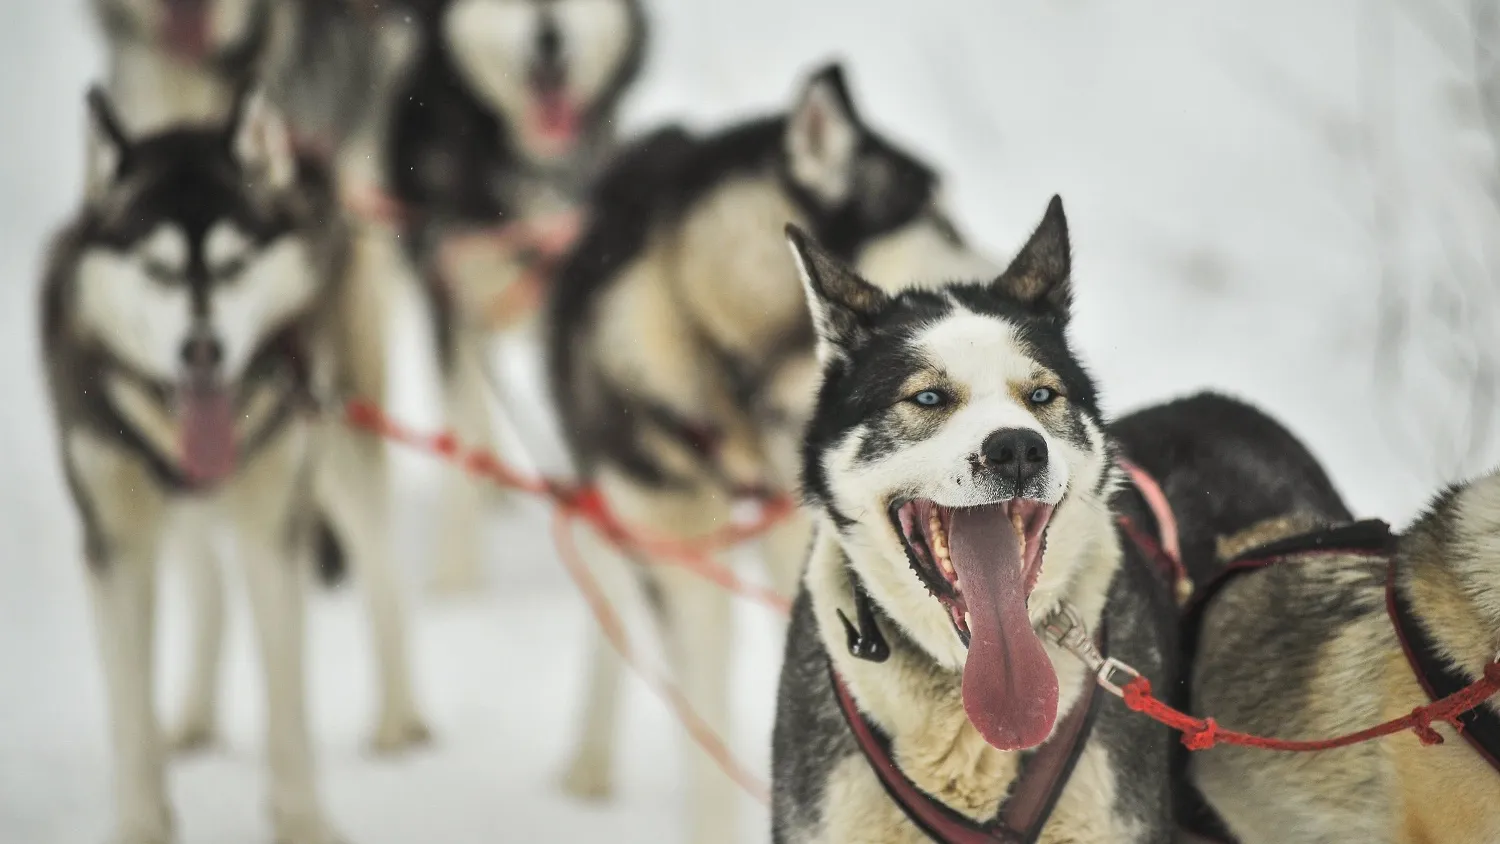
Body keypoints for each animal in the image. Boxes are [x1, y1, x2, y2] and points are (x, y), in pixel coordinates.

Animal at [43, 85, 414, 844]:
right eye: (158, 271)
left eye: (234, 266)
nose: (202, 351)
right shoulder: (114, 540)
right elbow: (131, 707)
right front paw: (143, 820)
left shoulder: (274, 528)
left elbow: (287, 694)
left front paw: (302, 819)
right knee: (206, 584)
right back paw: (194, 716)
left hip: (338, 450)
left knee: (380, 568)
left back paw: (398, 718)